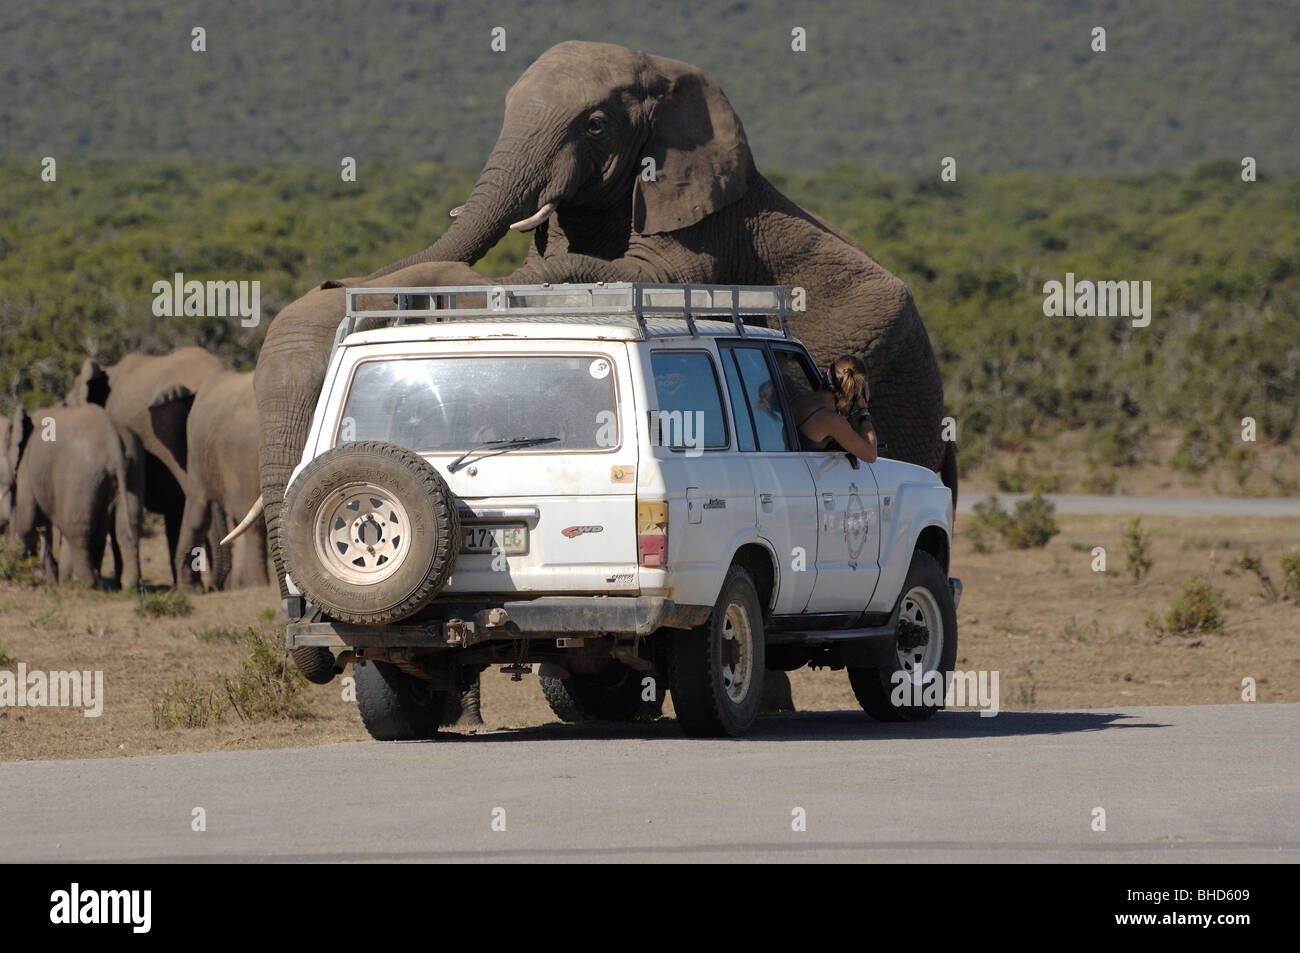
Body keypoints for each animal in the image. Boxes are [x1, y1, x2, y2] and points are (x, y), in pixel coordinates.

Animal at [0, 403, 142, 587]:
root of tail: (112, 438)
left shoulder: (27, 467)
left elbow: (27, 522)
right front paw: (51, 580)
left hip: (81, 475)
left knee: (77, 530)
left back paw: (83, 584)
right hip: (132, 467)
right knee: (127, 525)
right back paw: (129, 584)